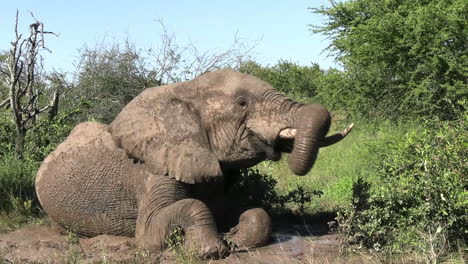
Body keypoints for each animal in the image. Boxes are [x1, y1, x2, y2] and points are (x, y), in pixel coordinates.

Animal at [35, 68, 352, 258]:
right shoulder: (155, 169)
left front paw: (234, 238)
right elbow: (151, 232)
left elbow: (253, 212)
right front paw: (211, 250)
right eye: (242, 103)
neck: (186, 91)